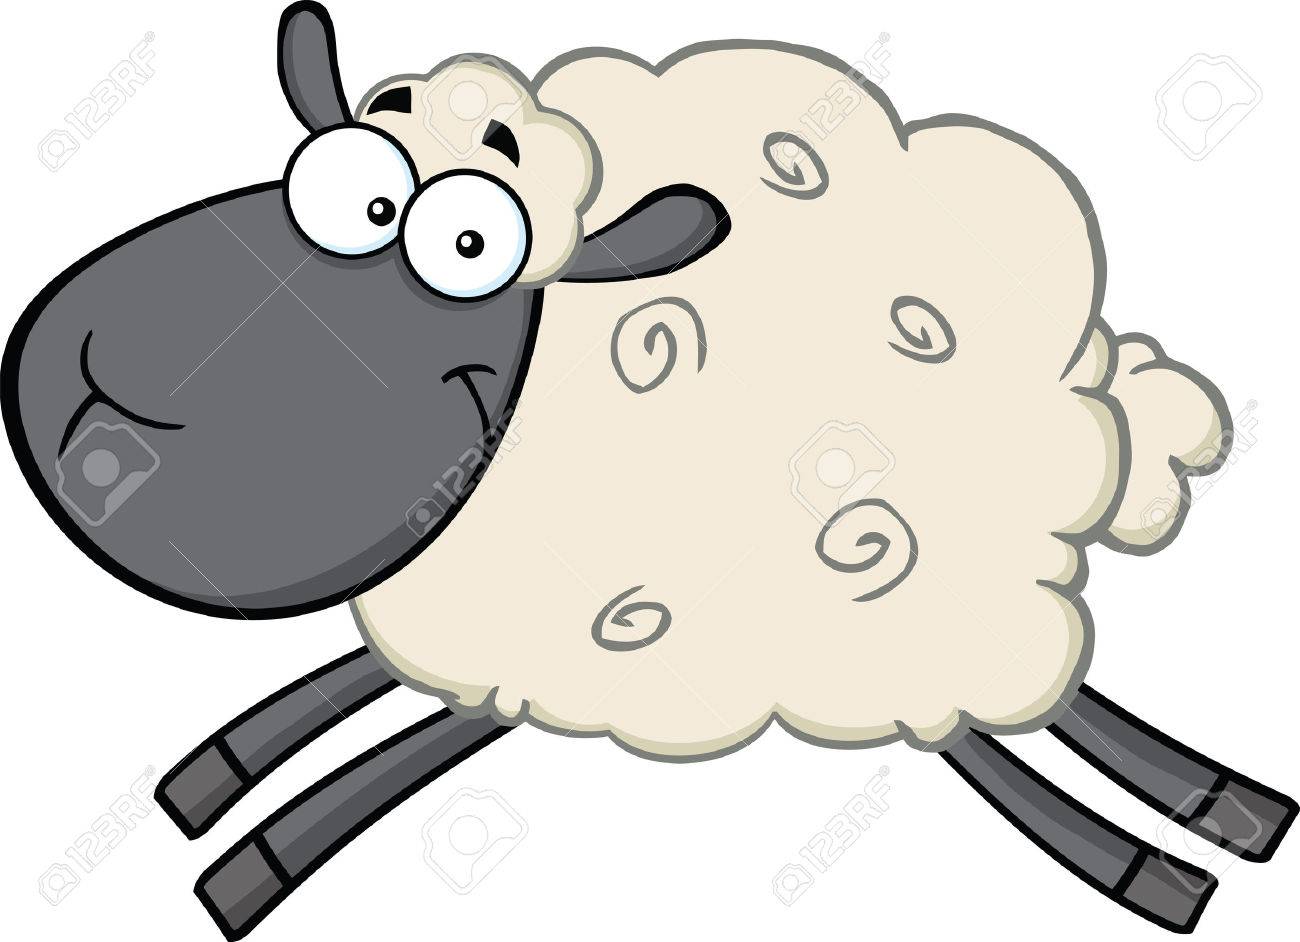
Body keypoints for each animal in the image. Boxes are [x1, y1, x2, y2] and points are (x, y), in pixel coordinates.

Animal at [2, 4, 1292, 939]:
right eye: (347, 176)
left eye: (469, 246)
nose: (110, 423)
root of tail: (1101, 386)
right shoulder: (484, 648)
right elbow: (374, 709)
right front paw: (222, 790)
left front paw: (253, 862)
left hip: (947, 634)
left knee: (1025, 732)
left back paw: (1184, 847)